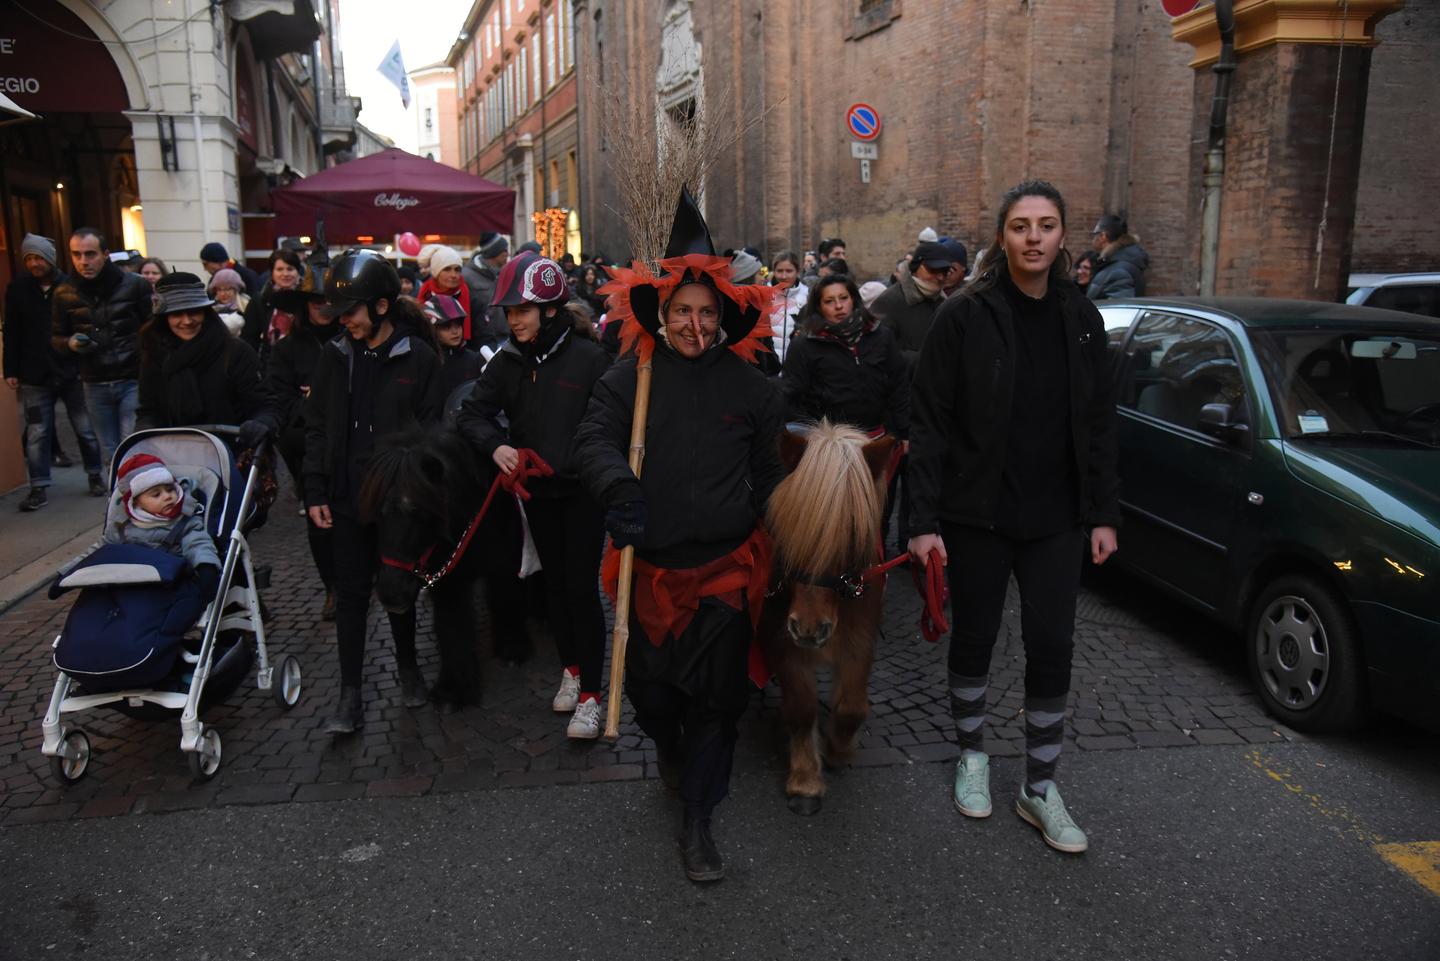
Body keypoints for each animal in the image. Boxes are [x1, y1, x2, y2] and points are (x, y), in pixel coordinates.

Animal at [360, 423, 535, 711]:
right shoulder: (448, 577)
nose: (391, 593)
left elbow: (506, 597)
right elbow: (451, 625)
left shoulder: (507, 561)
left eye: (419, 511)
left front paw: (512, 648)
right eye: (377, 513)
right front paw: (452, 690)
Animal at [760, 420, 892, 818]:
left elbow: (851, 708)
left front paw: (837, 749)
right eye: (788, 529)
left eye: (853, 533)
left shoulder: (860, 641)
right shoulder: (782, 641)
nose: (808, 628)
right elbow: (801, 708)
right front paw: (805, 779)